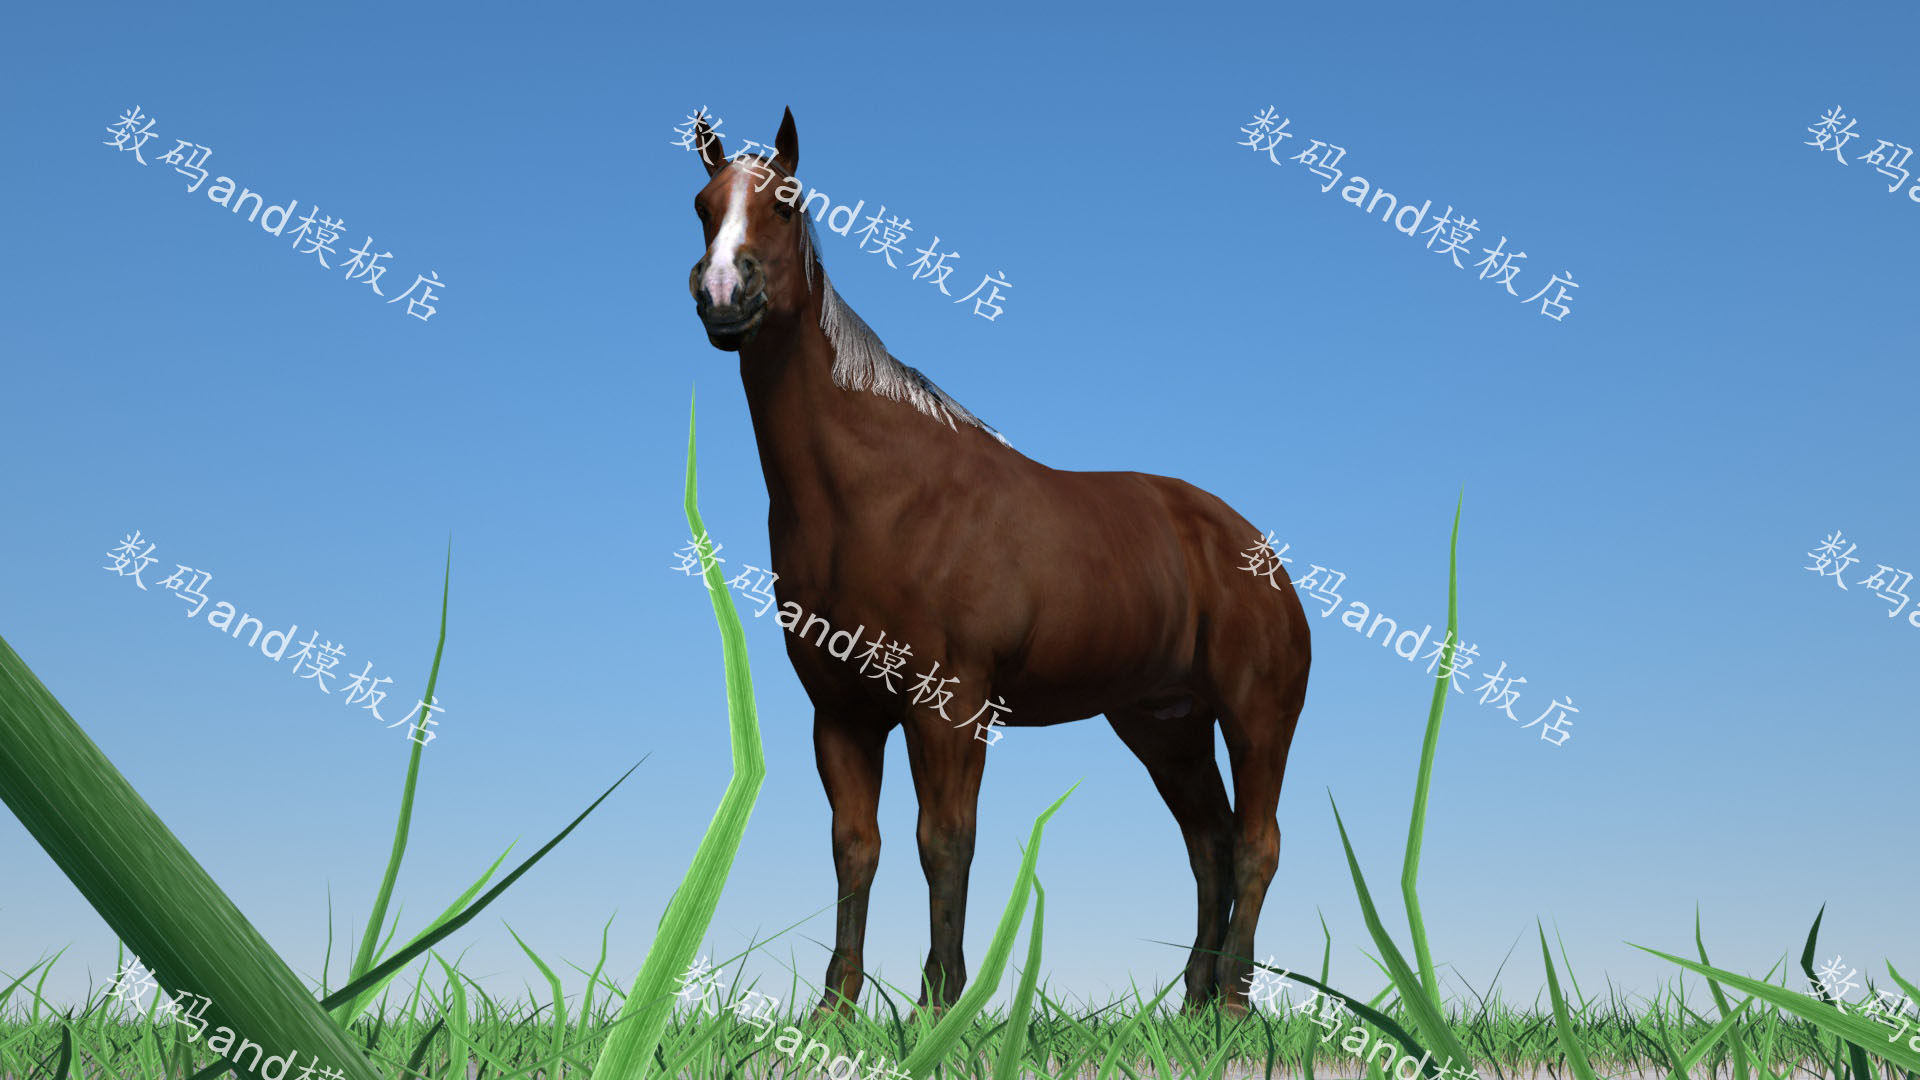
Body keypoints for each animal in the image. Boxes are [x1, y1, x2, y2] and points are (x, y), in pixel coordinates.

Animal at [685, 108, 1311, 1016]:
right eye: (704, 206)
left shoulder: (949, 706)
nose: (725, 297)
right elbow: (855, 846)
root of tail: (1254, 549)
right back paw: (1193, 1007)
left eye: (786, 204)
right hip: (1167, 726)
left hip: (1256, 715)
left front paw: (940, 1006)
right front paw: (837, 1010)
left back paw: (1231, 1002)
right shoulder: (840, 711)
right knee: (1211, 843)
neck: (875, 495)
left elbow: (944, 841)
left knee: (1258, 841)